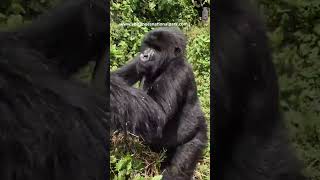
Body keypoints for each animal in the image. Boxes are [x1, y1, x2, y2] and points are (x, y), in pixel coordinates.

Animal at [112, 27, 208, 179]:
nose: (145, 55)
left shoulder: (178, 70)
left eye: (157, 49)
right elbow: (120, 77)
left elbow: (158, 114)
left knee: (180, 164)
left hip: (200, 134)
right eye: (148, 46)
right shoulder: (138, 62)